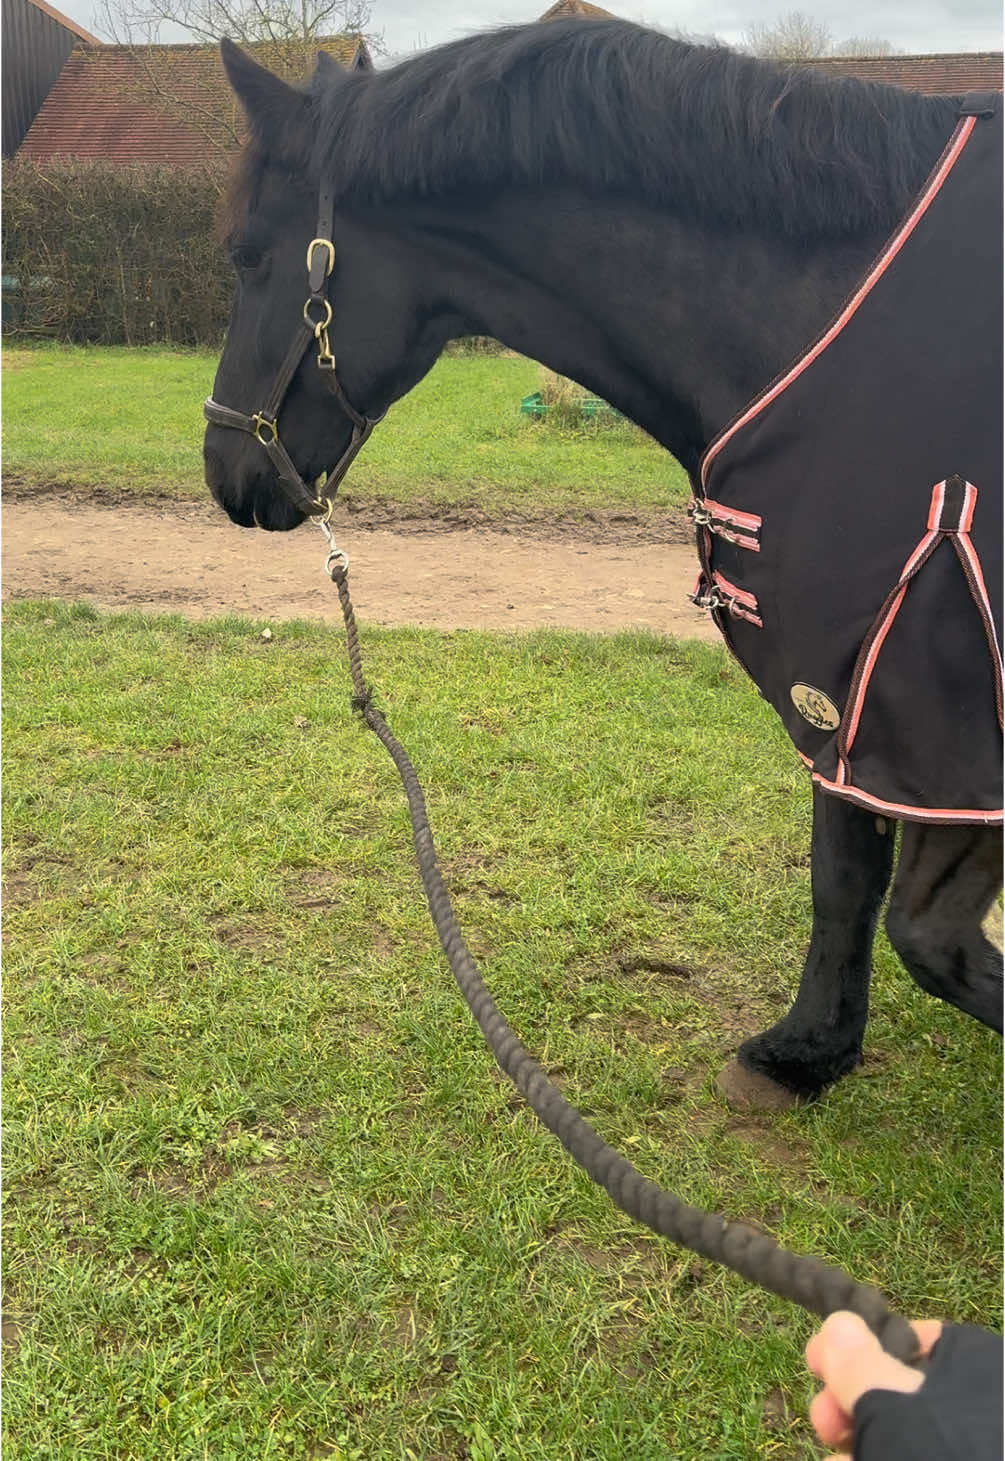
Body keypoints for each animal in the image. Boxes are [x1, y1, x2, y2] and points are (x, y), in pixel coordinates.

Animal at [201, 19, 999, 1104]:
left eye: (248, 255)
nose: (224, 470)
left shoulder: (935, 711)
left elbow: (931, 935)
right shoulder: (844, 685)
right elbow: (844, 876)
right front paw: (807, 1050)